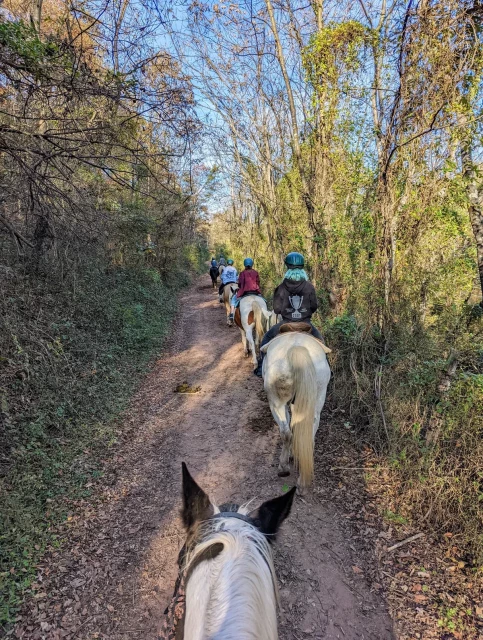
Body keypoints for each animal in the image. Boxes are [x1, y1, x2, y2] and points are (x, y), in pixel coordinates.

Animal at [260, 328, 332, 492]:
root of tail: (296, 348)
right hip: (316, 399)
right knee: (308, 437)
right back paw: (302, 482)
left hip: (276, 403)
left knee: (286, 433)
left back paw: (283, 467)